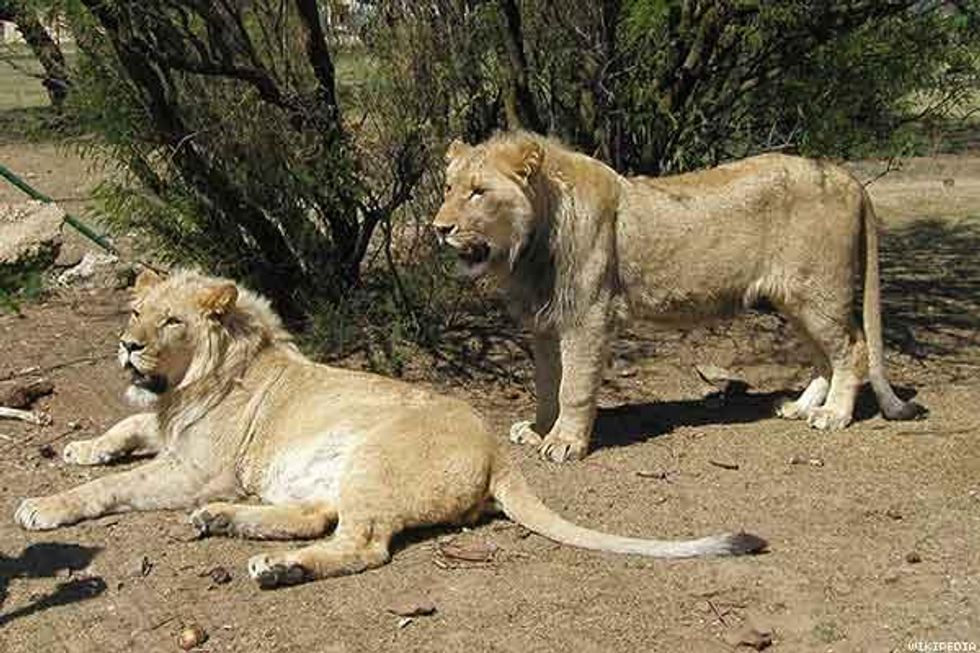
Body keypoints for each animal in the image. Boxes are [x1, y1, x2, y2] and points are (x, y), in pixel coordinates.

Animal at [14, 269, 765, 588]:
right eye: (135, 310)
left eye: (171, 321)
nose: (126, 345)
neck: (196, 378)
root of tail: (495, 446)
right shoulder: (167, 428)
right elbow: (125, 427)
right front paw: (81, 446)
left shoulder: (196, 467)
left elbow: (113, 487)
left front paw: (44, 504)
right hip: (331, 472)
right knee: (318, 517)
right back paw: (225, 523)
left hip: (374, 458)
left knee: (361, 545)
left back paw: (275, 566)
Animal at [432, 131, 924, 463]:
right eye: (449, 188)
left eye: (479, 192)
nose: (439, 228)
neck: (529, 248)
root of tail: (847, 176)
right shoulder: (546, 321)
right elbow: (547, 384)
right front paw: (538, 429)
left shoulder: (588, 316)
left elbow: (574, 387)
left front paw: (565, 443)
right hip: (792, 298)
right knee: (825, 355)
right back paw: (800, 408)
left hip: (819, 291)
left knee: (852, 349)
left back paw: (832, 415)